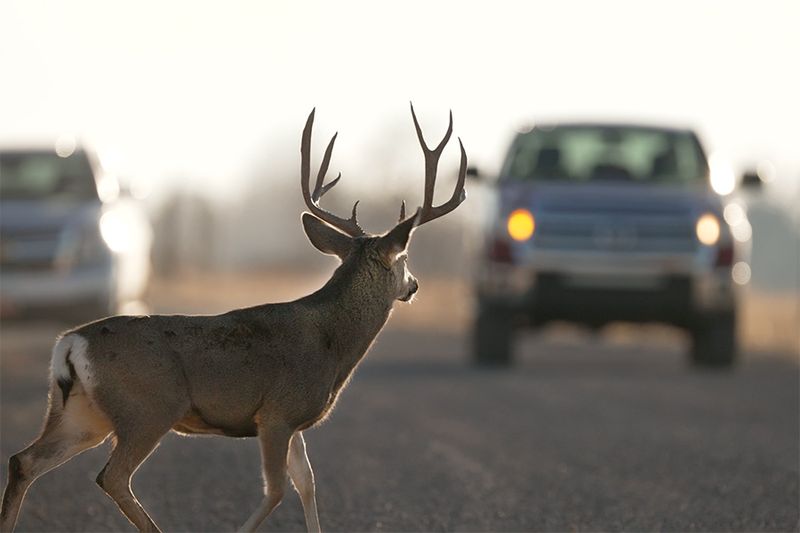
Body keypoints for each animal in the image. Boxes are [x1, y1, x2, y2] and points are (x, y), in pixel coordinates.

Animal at [0, 103, 467, 533]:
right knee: (111, 477)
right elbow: (277, 490)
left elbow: (308, 484)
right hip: (148, 408)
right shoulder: (277, 412)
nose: (415, 285)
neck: (331, 343)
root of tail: (70, 343)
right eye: (404, 257)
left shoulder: (294, 422)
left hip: (82, 413)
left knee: (24, 460)